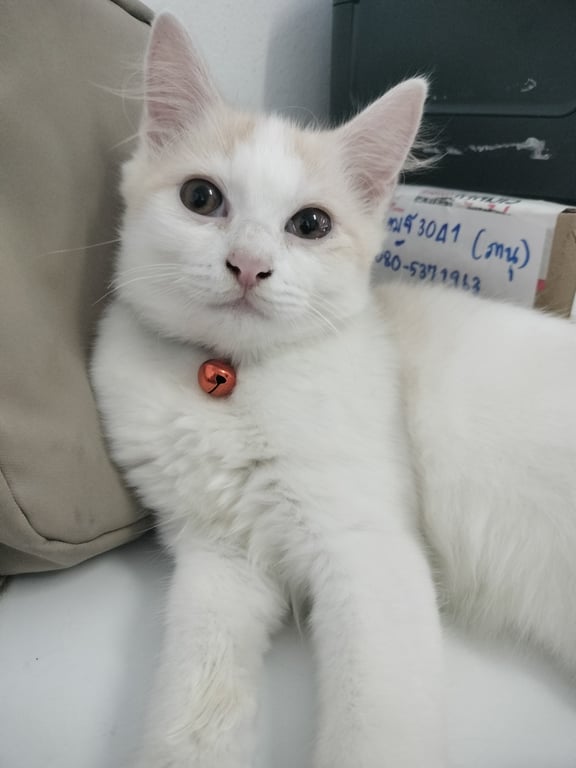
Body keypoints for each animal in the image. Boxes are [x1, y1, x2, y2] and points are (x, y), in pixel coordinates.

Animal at [91, 12, 576, 768]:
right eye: (201, 198)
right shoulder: (217, 560)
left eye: (310, 225)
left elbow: (371, 735)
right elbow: (191, 708)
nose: (248, 265)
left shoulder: (370, 552)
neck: (233, 377)